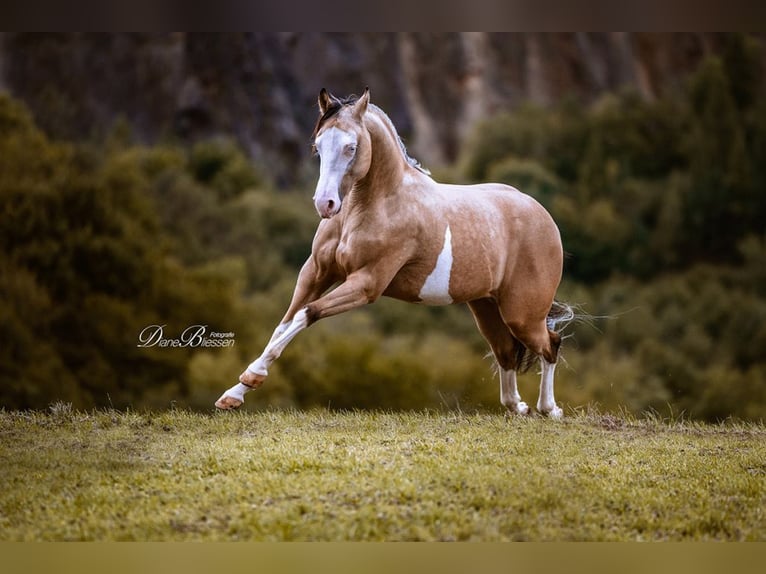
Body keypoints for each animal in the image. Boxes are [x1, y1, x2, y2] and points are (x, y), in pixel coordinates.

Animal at [215, 88, 572, 418]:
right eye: (318, 146)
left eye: (351, 146)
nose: (325, 204)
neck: (373, 207)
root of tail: (543, 216)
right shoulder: (316, 272)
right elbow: (285, 322)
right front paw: (233, 394)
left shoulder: (366, 284)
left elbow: (307, 314)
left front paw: (252, 376)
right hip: (486, 307)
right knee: (506, 353)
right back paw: (519, 407)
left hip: (521, 313)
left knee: (551, 343)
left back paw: (549, 409)